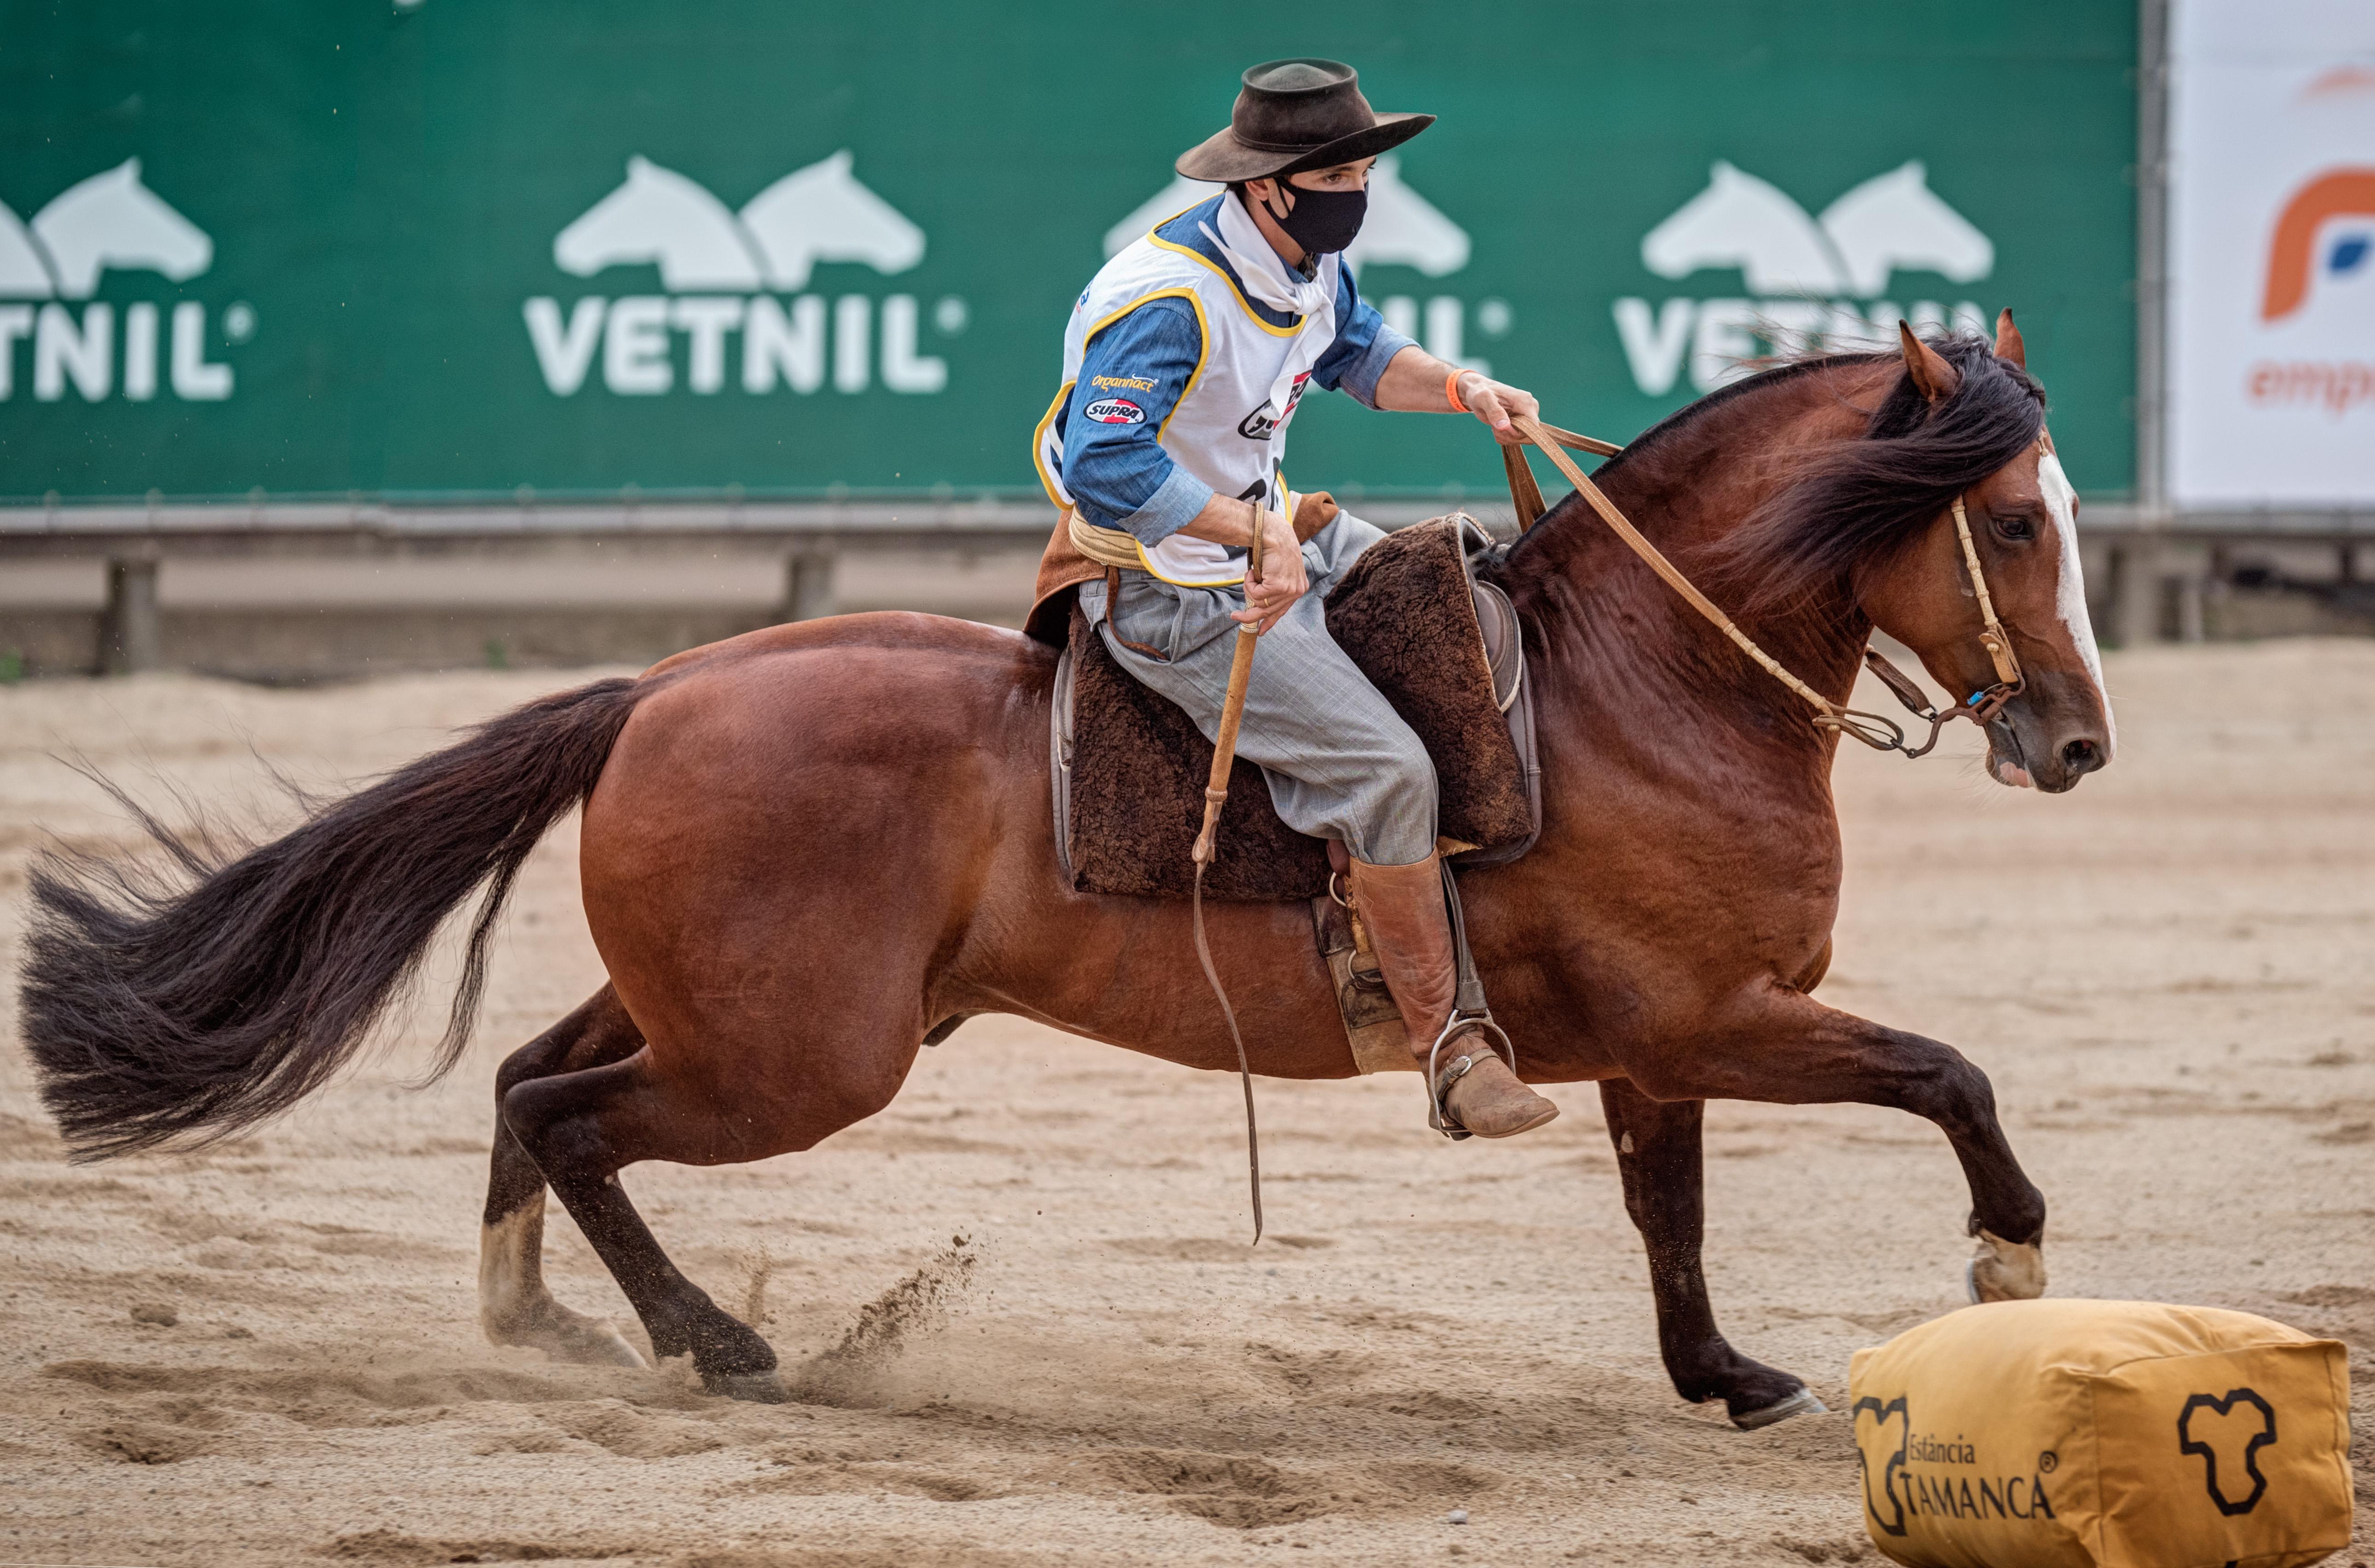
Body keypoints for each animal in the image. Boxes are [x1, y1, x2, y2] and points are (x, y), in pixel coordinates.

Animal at [18, 318, 2118, 1425]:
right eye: (2015, 520)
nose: (2079, 744)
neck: (1634, 683)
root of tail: (661, 687)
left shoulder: (1659, 1044)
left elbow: (1667, 1215)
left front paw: (1728, 1373)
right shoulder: (1719, 1017)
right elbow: (1948, 1074)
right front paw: (2009, 1255)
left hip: (716, 1010)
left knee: (538, 1084)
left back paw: (543, 1319)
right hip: (794, 1063)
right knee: (574, 1115)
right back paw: (715, 1338)